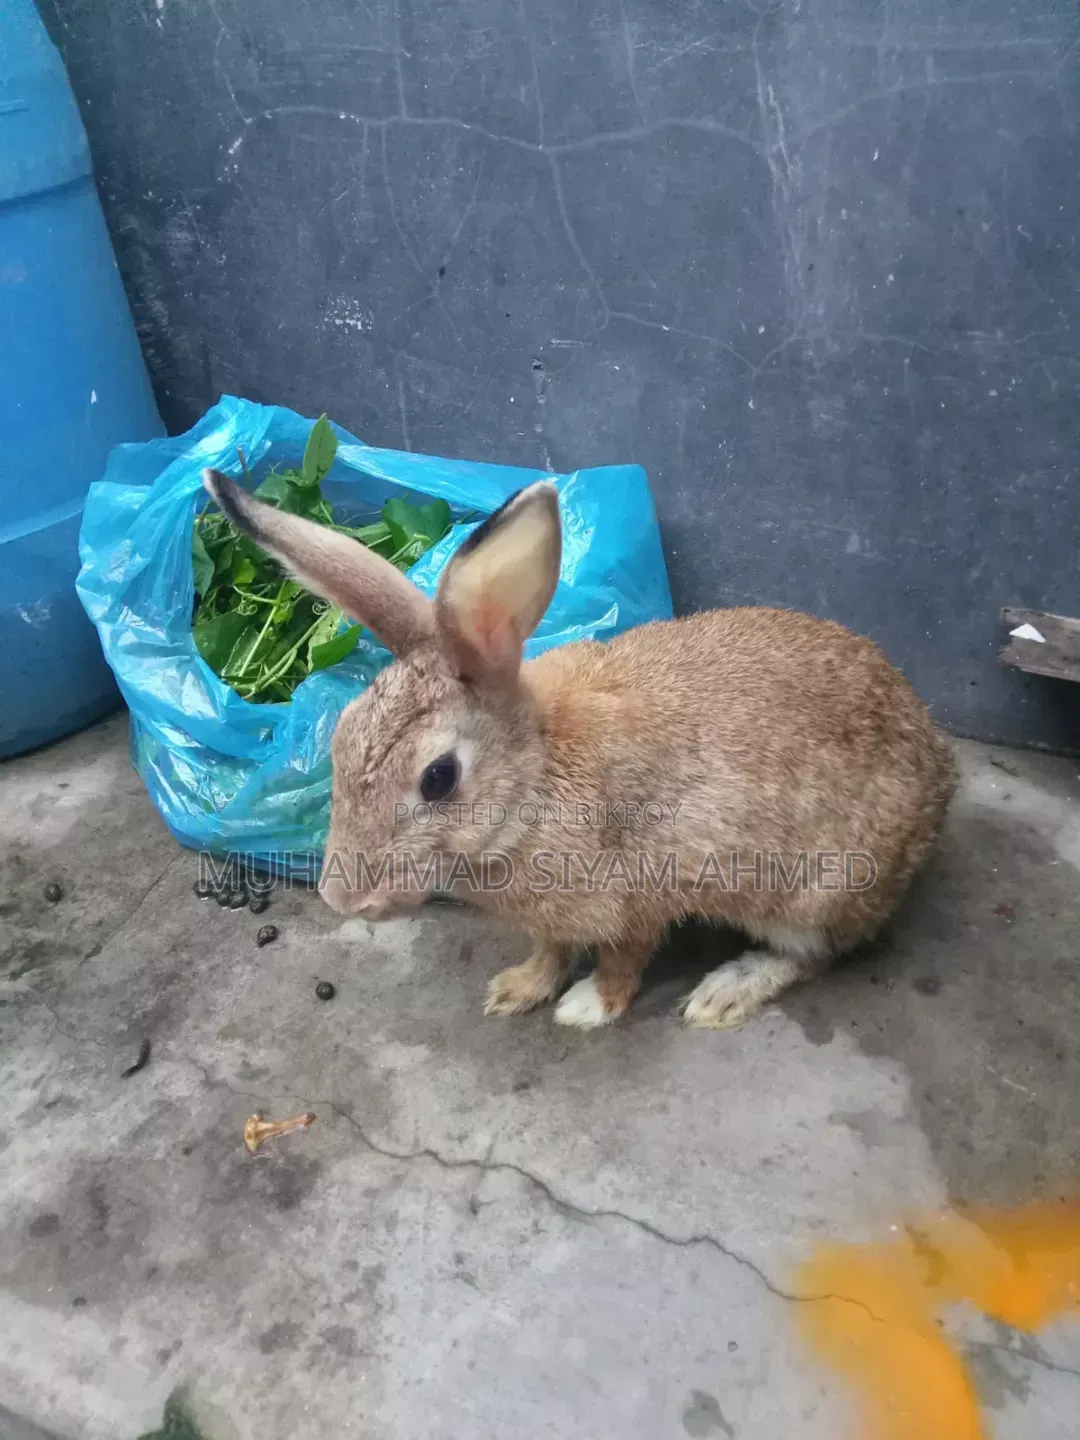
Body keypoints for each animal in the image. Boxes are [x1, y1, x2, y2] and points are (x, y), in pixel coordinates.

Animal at [202, 468, 956, 1031]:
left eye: (439, 778)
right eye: (341, 735)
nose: (341, 898)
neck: (535, 780)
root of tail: (939, 778)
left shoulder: (642, 894)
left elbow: (623, 958)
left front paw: (587, 1007)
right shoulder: (555, 917)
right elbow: (550, 947)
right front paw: (517, 989)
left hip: (816, 894)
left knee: (816, 953)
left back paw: (723, 992)